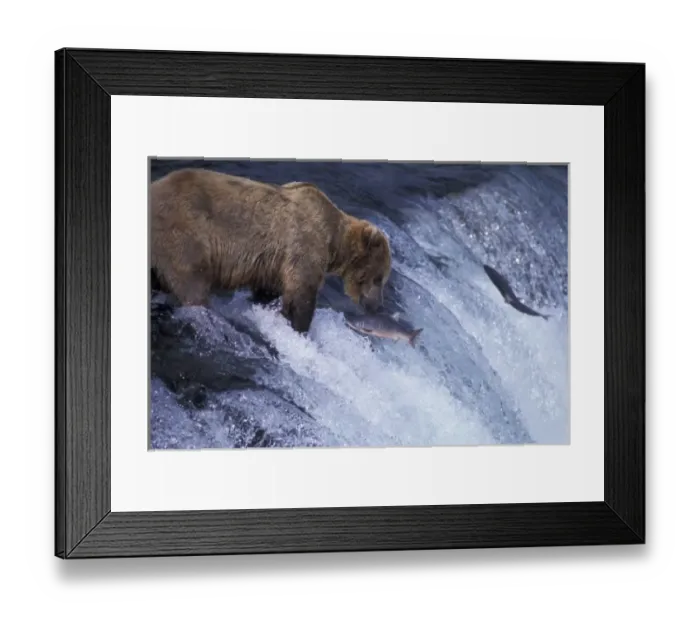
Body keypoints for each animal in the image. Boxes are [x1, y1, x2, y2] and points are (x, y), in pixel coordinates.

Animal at [149, 168, 392, 333]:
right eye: (379, 278)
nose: (377, 306)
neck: (333, 239)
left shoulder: (272, 263)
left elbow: (268, 290)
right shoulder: (303, 243)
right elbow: (302, 292)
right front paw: (299, 326)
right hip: (183, 232)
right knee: (192, 283)